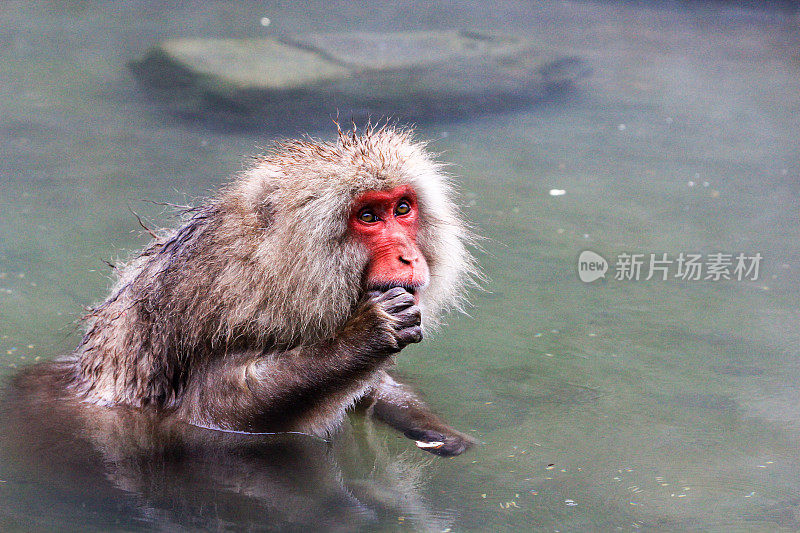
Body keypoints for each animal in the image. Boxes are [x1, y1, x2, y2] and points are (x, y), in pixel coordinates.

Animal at [37, 123, 478, 454]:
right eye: (368, 216)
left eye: (402, 208)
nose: (408, 256)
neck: (271, 277)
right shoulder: (218, 323)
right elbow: (220, 413)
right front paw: (363, 336)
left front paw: (436, 432)